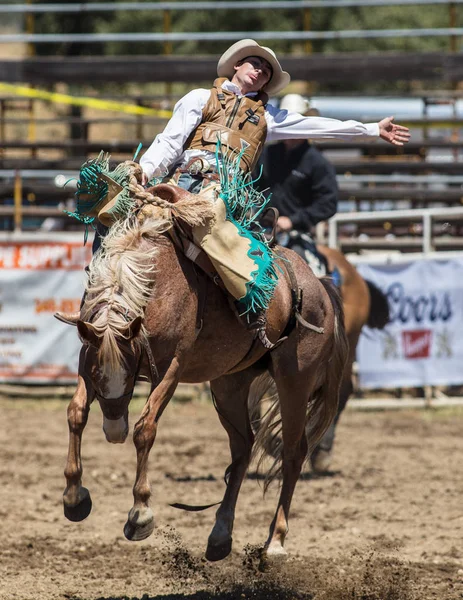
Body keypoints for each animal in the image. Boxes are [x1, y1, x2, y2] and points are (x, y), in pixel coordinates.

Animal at [63, 169, 350, 568]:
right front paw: (75, 498)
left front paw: (140, 514)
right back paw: (219, 536)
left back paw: (275, 542)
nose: (113, 431)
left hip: (295, 380)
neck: (152, 278)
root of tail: (319, 285)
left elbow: (145, 429)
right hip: (229, 383)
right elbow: (76, 412)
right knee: (243, 448)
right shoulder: (87, 355)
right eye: (96, 375)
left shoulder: (172, 367)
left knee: (294, 452)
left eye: (132, 369)